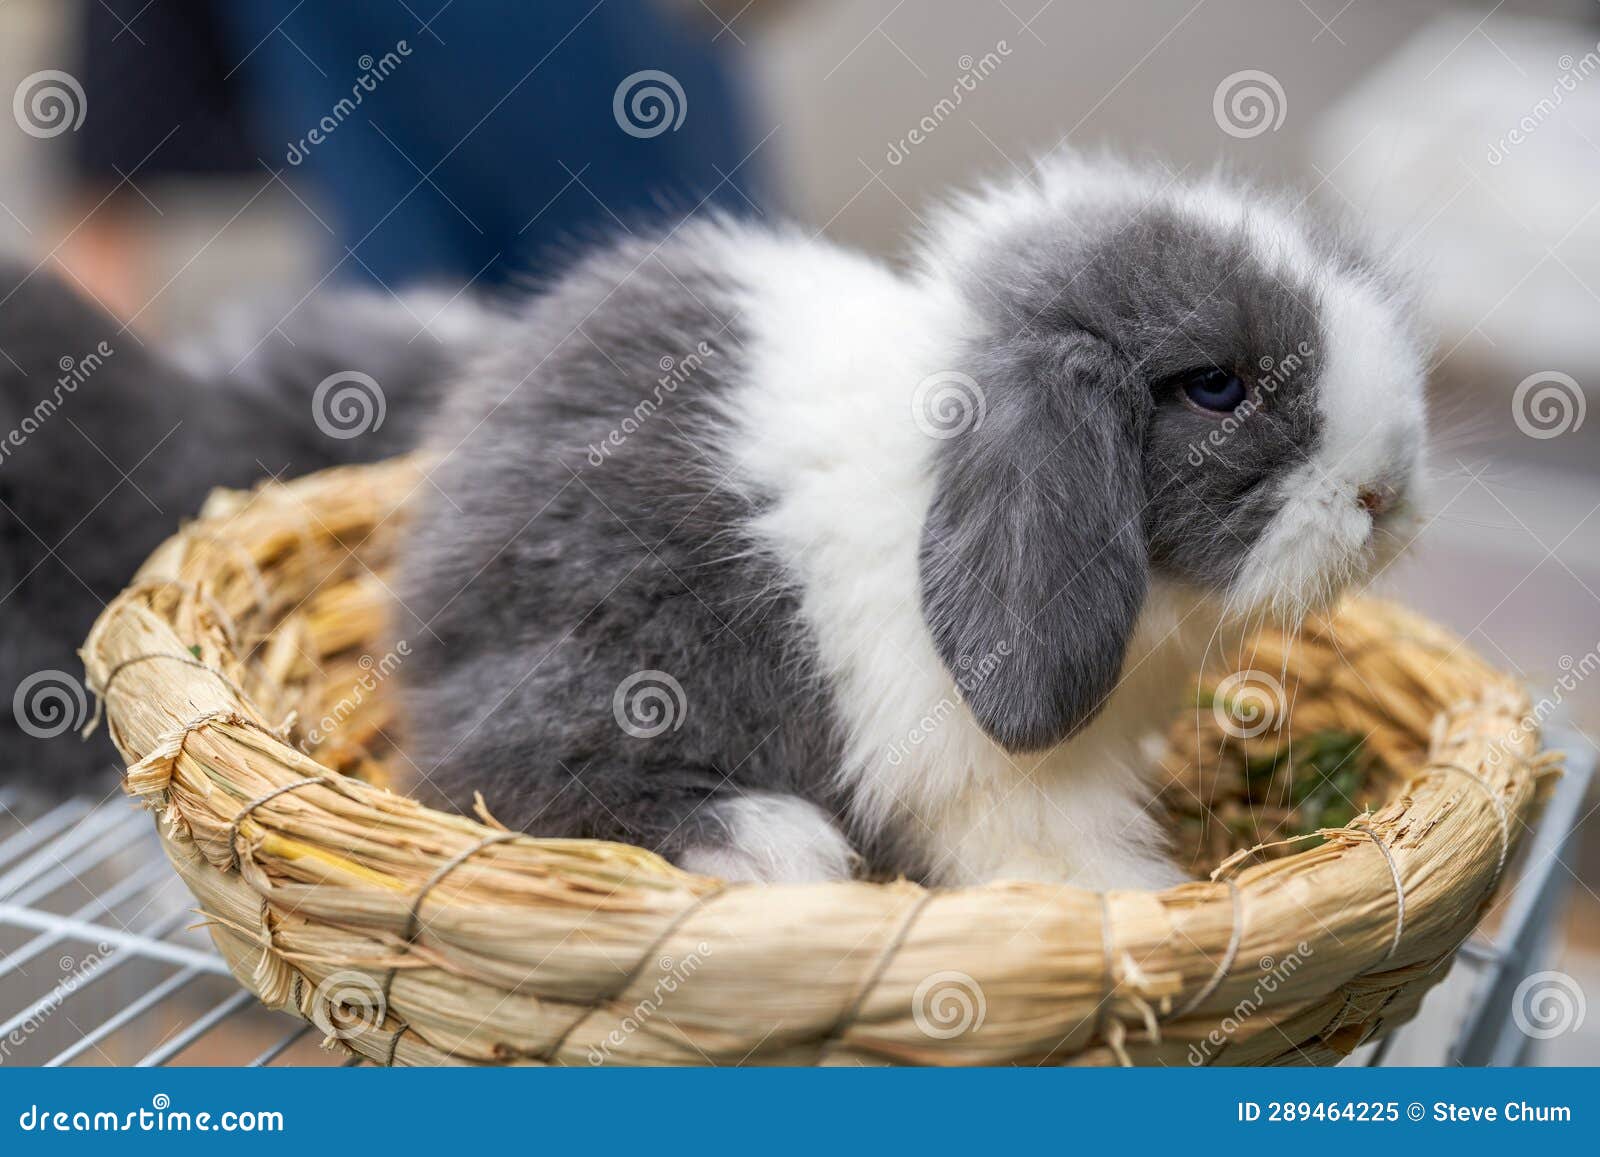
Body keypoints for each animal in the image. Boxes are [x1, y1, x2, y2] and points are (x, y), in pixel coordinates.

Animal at [396, 154, 1430, 890]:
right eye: (1216, 386)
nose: (1386, 494)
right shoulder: (1002, 783)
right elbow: (1056, 855)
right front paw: (1140, 899)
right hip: (613, 654)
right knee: (492, 770)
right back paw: (770, 844)